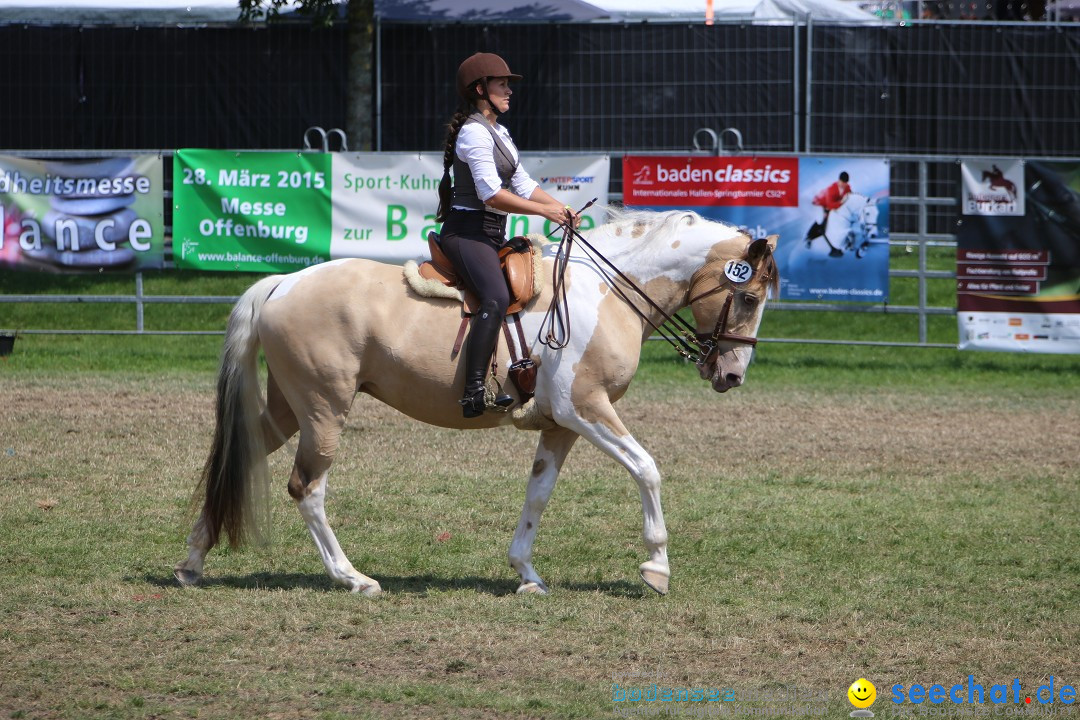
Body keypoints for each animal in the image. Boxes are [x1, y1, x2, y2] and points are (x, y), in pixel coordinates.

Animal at [177, 207, 777, 595]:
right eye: (748, 297)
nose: (732, 374)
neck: (605, 293)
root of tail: (282, 282)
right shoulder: (586, 409)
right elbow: (647, 469)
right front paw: (656, 568)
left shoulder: (559, 424)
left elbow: (538, 496)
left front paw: (527, 576)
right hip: (325, 412)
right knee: (308, 488)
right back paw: (352, 577)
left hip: (289, 409)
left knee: (241, 458)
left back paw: (191, 563)